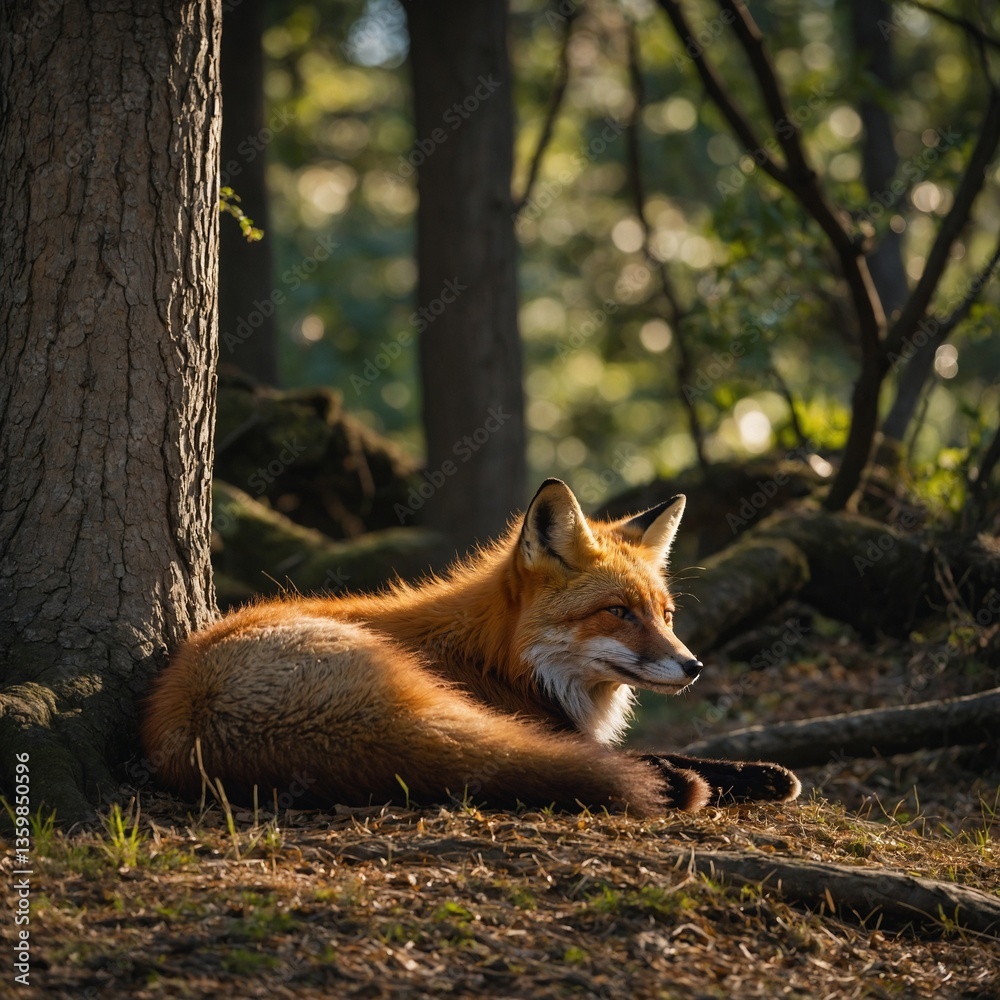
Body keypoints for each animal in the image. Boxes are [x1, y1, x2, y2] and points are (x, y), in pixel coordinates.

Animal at [141, 479, 800, 816]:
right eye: (618, 613)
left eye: (665, 615)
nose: (694, 666)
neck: (503, 660)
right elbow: (653, 756)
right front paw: (738, 776)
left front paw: (762, 774)